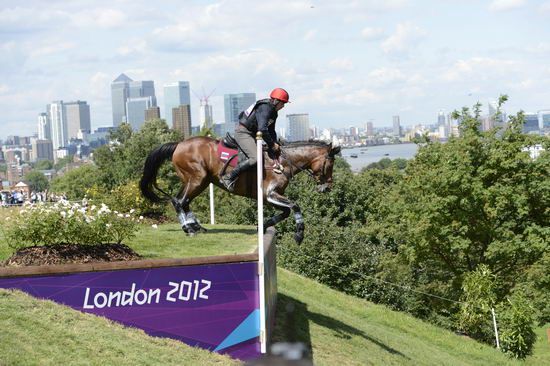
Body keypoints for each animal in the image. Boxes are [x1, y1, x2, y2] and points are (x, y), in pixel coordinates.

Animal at [139, 137, 340, 243]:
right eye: (330, 165)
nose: (327, 188)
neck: (283, 162)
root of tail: (179, 144)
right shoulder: (270, 194)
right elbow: (295, 206)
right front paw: (299, 234)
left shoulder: (270, 198)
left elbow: (285, 212)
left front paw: (263, 226)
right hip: (197, 178)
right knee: (179, 201)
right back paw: (188, 229)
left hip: (199, 181)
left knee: (184, 201)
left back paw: (197, 226)